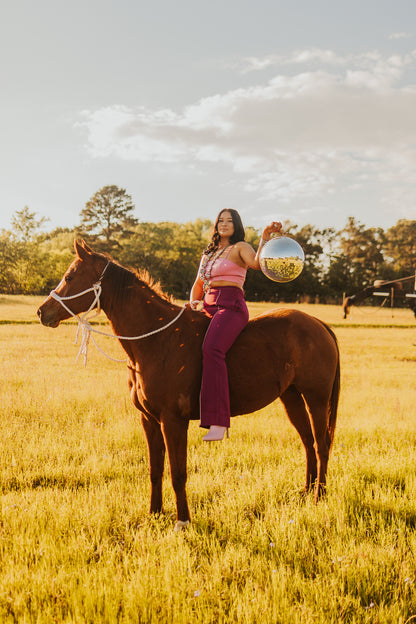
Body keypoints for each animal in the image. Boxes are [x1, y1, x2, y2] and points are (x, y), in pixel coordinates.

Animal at [37, 241, 340, 528]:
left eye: (70, 276)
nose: (42, 312)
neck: (158, 339)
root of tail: (318, 323)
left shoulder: (173, 421)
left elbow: (177, 472)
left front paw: (182, 520)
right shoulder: (149, 420)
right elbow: (155, 470)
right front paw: (154, 514)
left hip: (317, 398)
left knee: (321, 444)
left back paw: (319, 496)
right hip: (291, 397)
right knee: (308, 442)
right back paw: (306, 491)